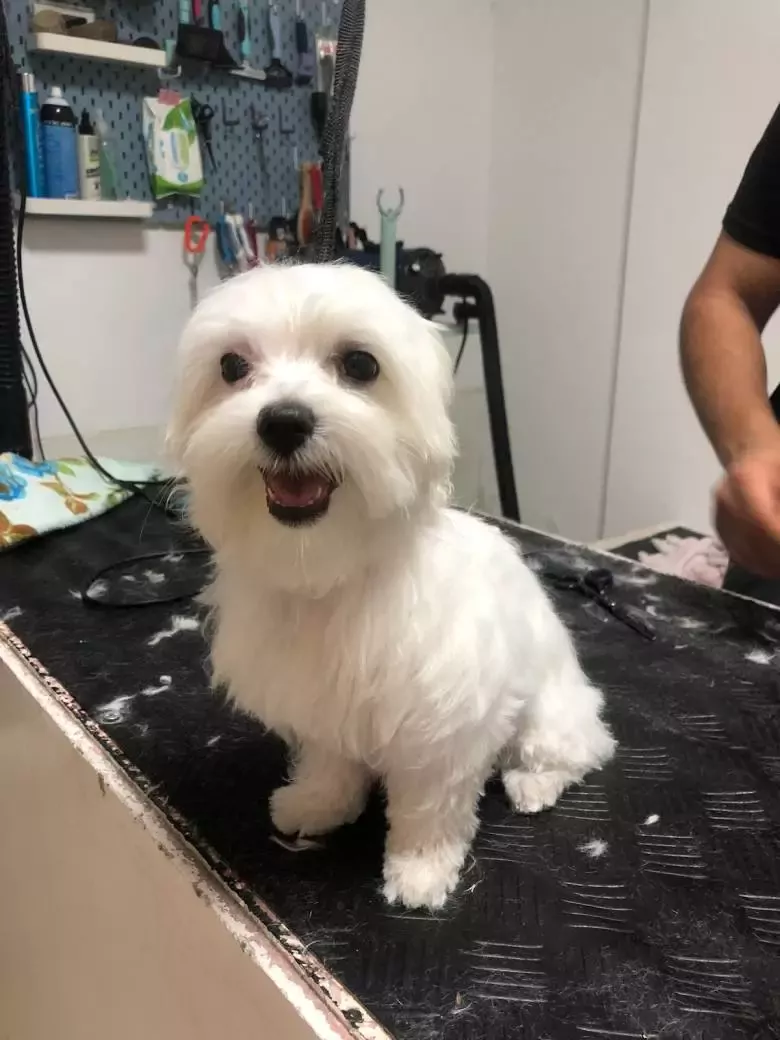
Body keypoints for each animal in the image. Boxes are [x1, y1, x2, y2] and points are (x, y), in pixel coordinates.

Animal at [169, 262, 615, 911]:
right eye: (231, 366)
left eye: (360, 364)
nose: (283, 422)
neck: (337, 573)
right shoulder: (322, 707)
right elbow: (330, 764)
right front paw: (318, 803)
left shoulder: (443, 730)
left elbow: (430, 809)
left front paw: (421, 871)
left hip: (549, 717)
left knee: (577, 750)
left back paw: (533, 783)